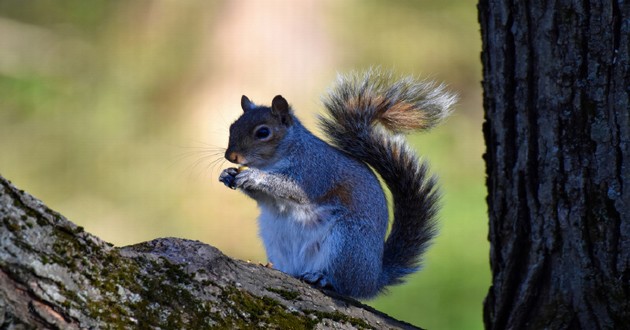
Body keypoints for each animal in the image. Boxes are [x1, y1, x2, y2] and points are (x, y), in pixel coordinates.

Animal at [220, 69, 456, 300]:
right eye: (232, 127)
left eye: (263, 132)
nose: (230, 156)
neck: (274, 159)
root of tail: (373, 278)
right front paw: (227, 175)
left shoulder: (314, 172)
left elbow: (290, 187)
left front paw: (254, 177)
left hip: (346, 243)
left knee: (345, 285)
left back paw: (322, 278)